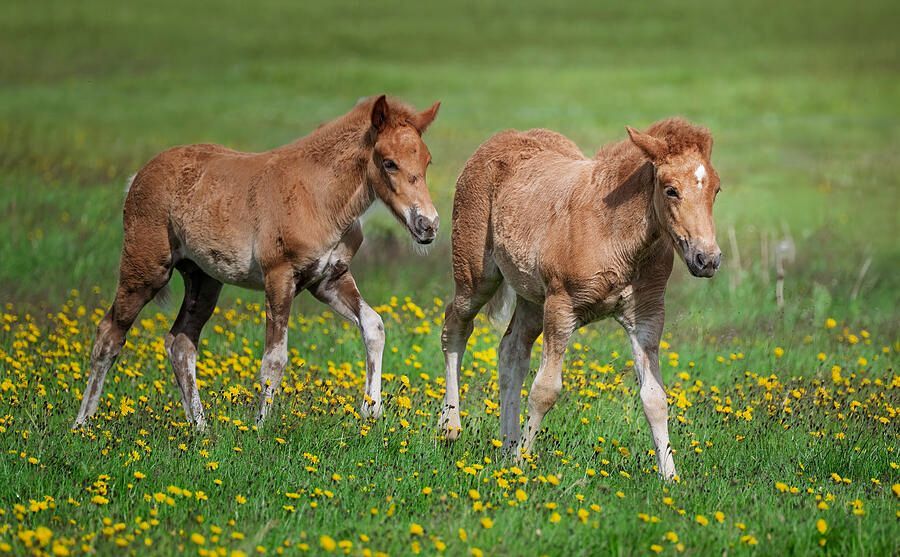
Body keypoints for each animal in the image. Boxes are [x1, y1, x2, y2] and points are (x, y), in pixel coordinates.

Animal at [73, 95, 441, 430]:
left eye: (427, 161)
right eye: (389, 162)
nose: (428, 225)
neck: (319, 196)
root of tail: (138, 175)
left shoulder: (329, 279)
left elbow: (374, 325)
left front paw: (371, 410)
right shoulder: (279, 276)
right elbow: (274, 359)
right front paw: (260, 430)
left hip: (203, 278)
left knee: (181, 343)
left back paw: (202, 430)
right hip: (145, 269)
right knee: (109, 334)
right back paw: (82, 424)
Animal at [439, 118, 721, 479]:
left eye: (716, 189)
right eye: (671, 189)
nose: (707, 259)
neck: (612, 231)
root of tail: (499, 140)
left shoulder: (646, 316)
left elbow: (655, 398)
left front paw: (670, 477)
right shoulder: (561, 306)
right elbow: (545, 390)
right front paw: (523, 466)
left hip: (533, 298)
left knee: (511, 352)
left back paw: (507, 448)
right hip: (477, 276)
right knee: (456, 325)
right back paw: (450, 427)